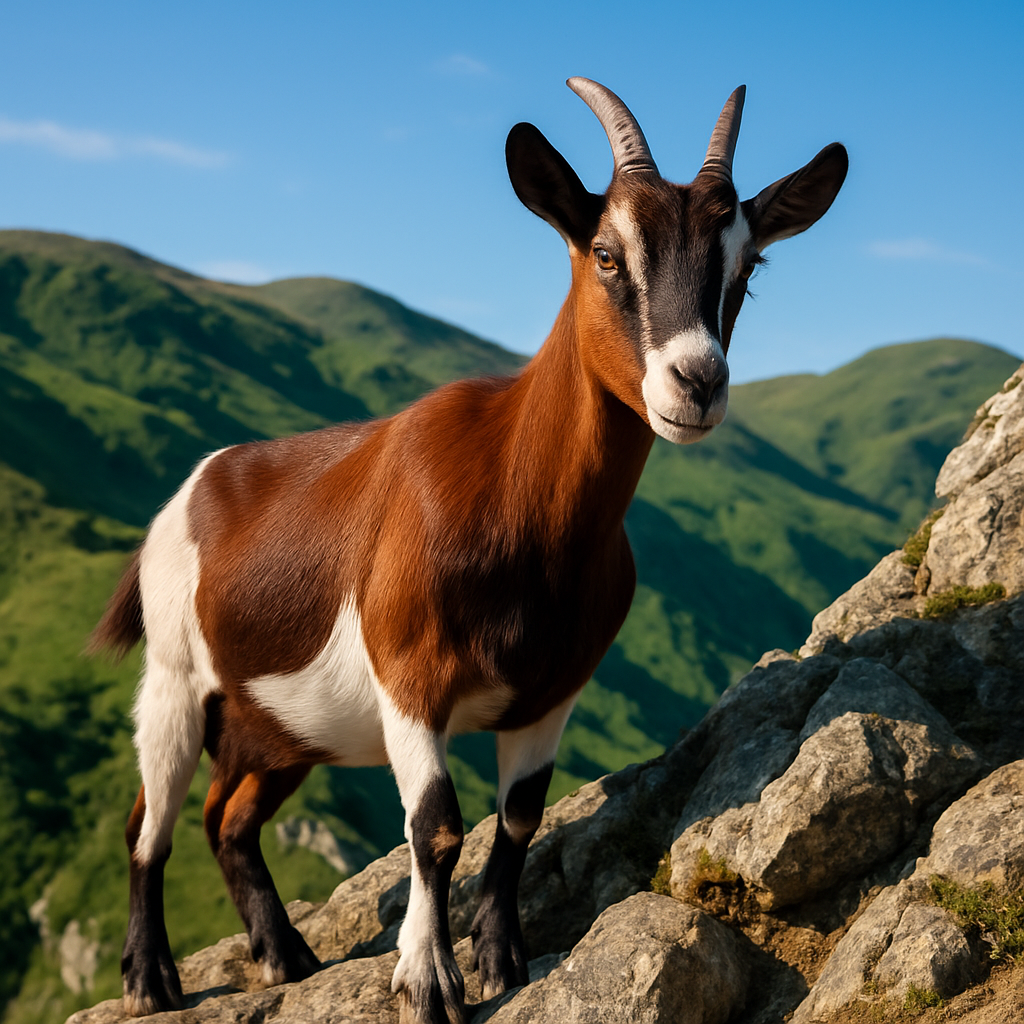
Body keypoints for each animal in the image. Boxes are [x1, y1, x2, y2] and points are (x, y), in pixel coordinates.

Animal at [91, 78, 847, 1023]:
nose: (697, 383)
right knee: (148, 820)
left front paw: (499, 959)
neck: (515, 510)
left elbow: (517, 820)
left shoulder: (550, 692)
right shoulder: (409, 677)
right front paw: (426, 980)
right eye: (606, 254)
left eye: (746, 270)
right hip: (175, 674)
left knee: (227, 817)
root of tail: (196, 485)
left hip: (281, 725)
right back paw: (151, 977)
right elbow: (436, 825)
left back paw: (284, 956)